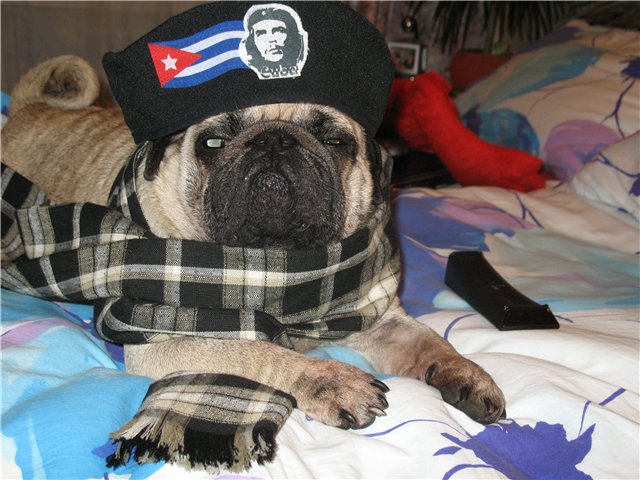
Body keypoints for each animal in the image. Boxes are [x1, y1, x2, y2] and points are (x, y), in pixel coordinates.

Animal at [2, 52, 505, 429]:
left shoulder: (381, 320)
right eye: (212, 143)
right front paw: (326, 379)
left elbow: (432, 343)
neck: (275, 263)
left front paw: (467, 372)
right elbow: (255, 349)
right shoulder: (163, 338)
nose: (275, 141)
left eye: (336, 142)